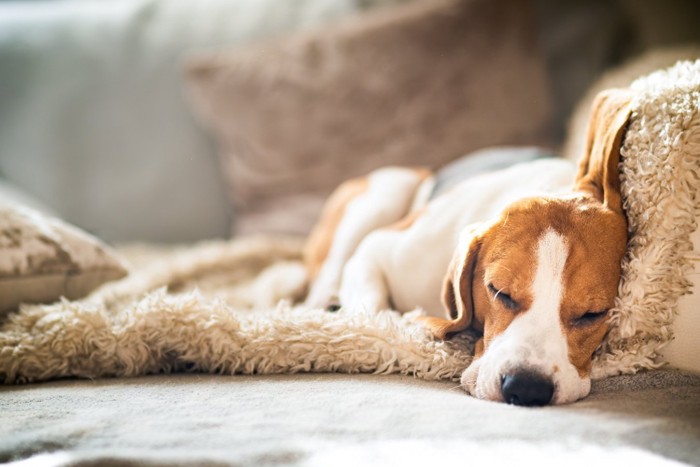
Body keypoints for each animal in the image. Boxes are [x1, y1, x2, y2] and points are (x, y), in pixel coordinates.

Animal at [302, 90, 636, 406]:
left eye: (593, 314)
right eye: (499, 292)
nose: (526, 388)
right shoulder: (376, 249)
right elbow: (373, 309)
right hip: (386, 192)